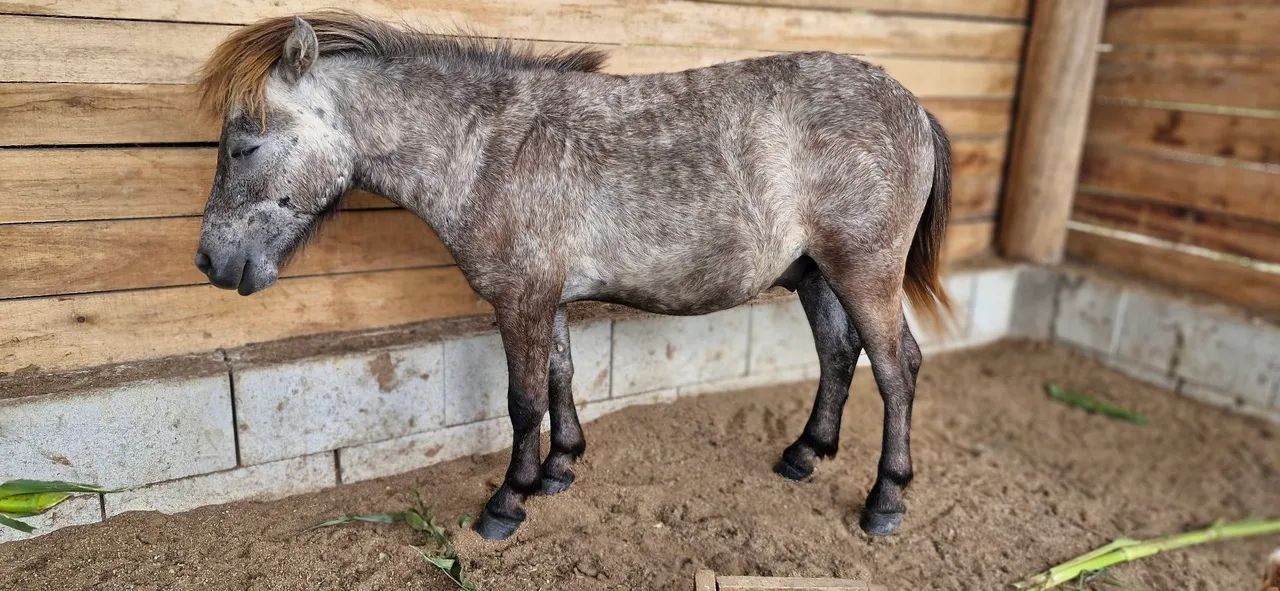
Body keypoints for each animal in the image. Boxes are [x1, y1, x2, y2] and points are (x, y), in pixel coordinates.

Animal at [194, 11, 952, 541]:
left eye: (244, 144)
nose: (209, 261)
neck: (487, 148)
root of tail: (913, 106)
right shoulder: (545, 298)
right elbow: (559, 376)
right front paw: (559, 468)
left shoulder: (520, 299)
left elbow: (523, 399)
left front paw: (508, 500)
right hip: (818, 275)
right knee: (838, 353)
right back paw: (803, 454)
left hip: (864, 272)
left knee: (898, 368)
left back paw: (885, 498)